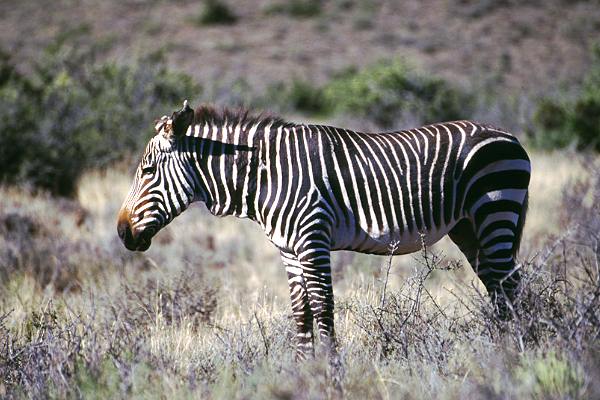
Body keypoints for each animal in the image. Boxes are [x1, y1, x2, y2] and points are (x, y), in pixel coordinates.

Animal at [116, 100, 528, 360]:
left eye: (147, 171)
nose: (121, 233)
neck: (265, 176)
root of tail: (511, 136)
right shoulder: (289, 249)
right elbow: (301, 312)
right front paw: (305, 371)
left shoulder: (313, 239)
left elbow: (322, 306)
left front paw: (331, 372)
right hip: (469, 227)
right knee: (499, 286)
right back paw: (504, 349)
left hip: (495, 210)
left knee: (507, 286)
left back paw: (515, 353)